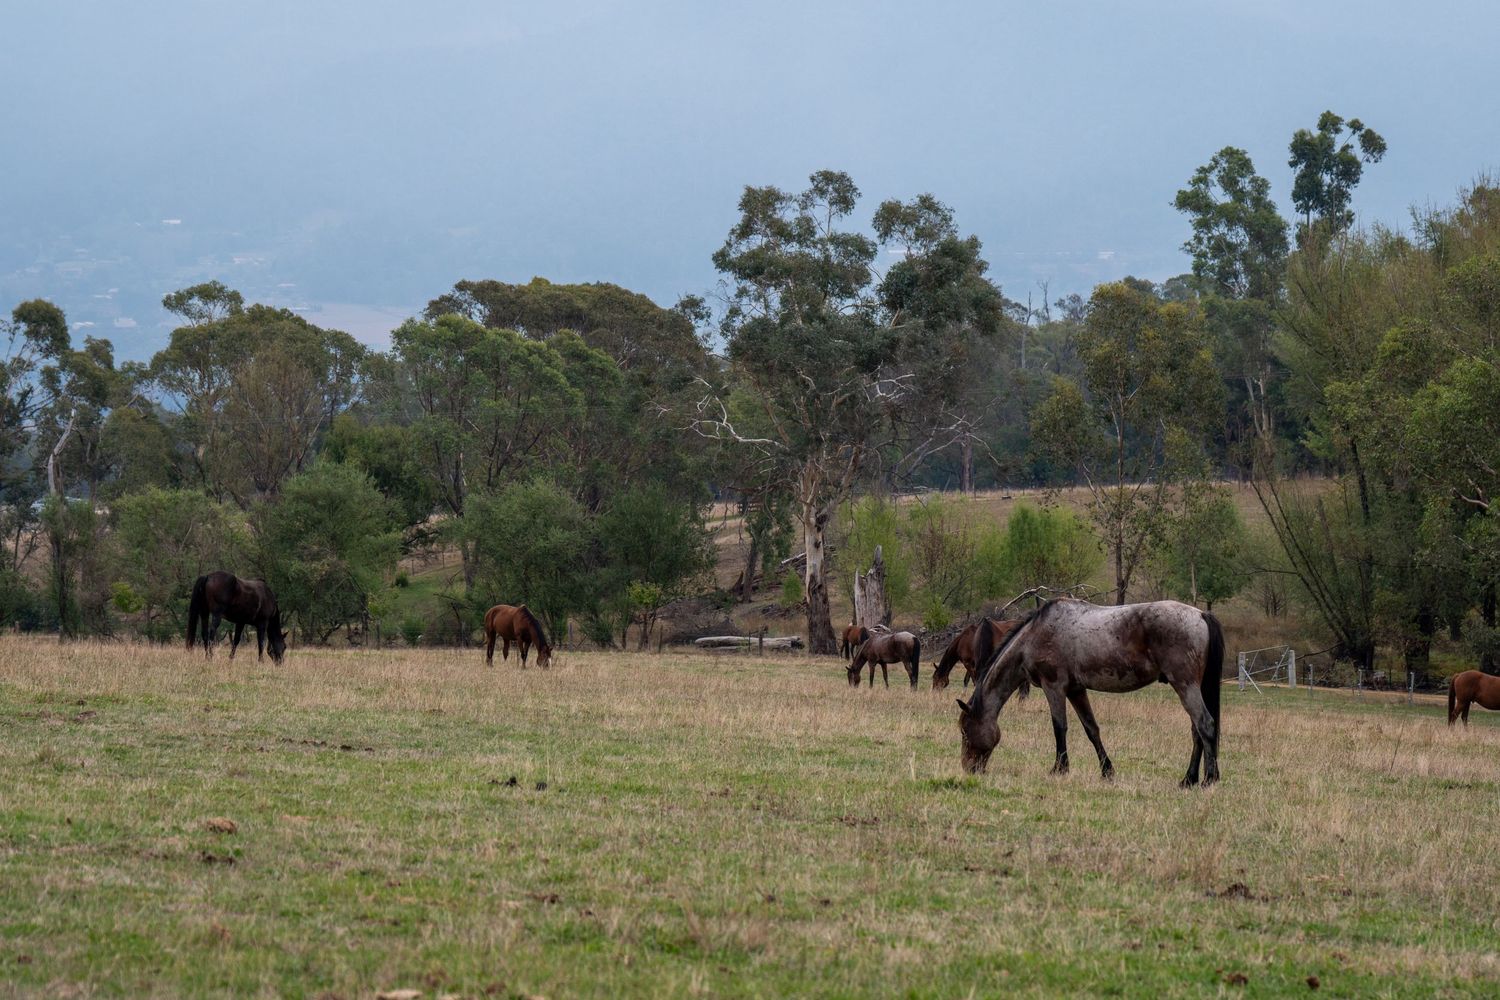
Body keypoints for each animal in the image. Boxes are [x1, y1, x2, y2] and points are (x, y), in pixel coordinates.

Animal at [956, 598, 1223, 786]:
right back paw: (1189, 779)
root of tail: (1201, 614)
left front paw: (1059, 768)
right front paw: (1107, 771)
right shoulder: (1076, 690)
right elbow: (1091, 729)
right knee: (1197, 731)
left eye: (965, 731)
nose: (969, 769)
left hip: (1185, 685)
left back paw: (1208, 779)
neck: (1035, 636)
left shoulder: (1054, 687)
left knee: (1205, 725)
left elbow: (1059, 727)